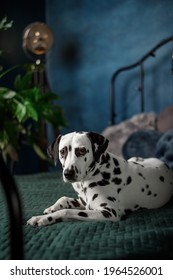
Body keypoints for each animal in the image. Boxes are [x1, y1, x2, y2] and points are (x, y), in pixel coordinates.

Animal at [27, 131, 173, 225]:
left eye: (82, 150)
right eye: (62, 151)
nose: (68, 173)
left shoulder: (108, 212)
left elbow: (67, 211)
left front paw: (42, 218)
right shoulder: (83, 202)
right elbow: (64, 199)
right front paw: (52, 208)